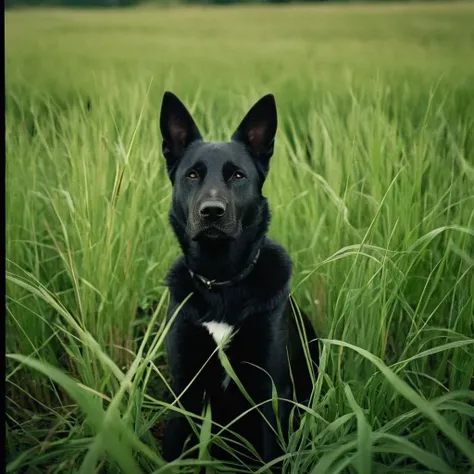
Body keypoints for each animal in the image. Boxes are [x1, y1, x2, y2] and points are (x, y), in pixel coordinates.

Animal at [159, 90, 318, 468]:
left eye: (237, 176)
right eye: (192, 175)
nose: (212, 211)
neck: (222, 283)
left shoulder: (270, 394)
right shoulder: (184, 389)